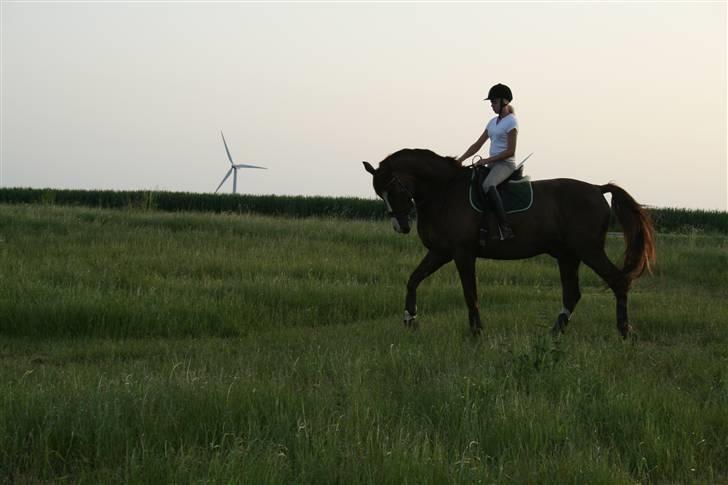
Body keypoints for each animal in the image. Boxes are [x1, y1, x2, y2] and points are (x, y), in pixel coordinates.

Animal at [362, 147, 656, 336]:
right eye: (380, 193)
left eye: (393, 187)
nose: (400, 226)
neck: (443, 193)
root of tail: (597, 188)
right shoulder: (440, 252)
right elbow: (413, 279)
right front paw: (410, 319)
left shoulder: (462, 253)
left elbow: (470, 293)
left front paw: (476, 332)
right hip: (568, 255)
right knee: (572, 293)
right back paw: (553, 333)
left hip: (588, 250)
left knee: (618, 281)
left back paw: (624, 331)